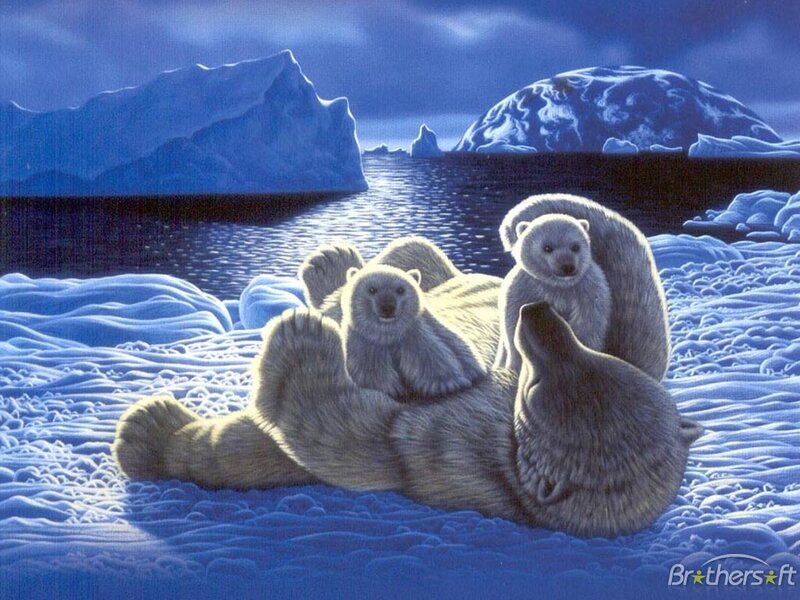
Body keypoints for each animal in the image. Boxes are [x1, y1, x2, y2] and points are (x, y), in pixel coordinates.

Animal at [340, 264, 485, 400]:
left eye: (400, 289)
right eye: (372, 289)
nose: (387, 307)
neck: (388, 334)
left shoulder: (415, 332)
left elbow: (431, 355)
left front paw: (446, 384)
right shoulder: (364, 342)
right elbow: (369, 368)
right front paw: (395, 389)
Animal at [495, 213, 612, 372]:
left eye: (575, 246)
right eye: (547, 247)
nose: (567, 266)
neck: (558, 285)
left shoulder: (588, 289)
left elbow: (588, 323)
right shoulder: (524, 287)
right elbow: (513, 321)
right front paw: (516, 365)